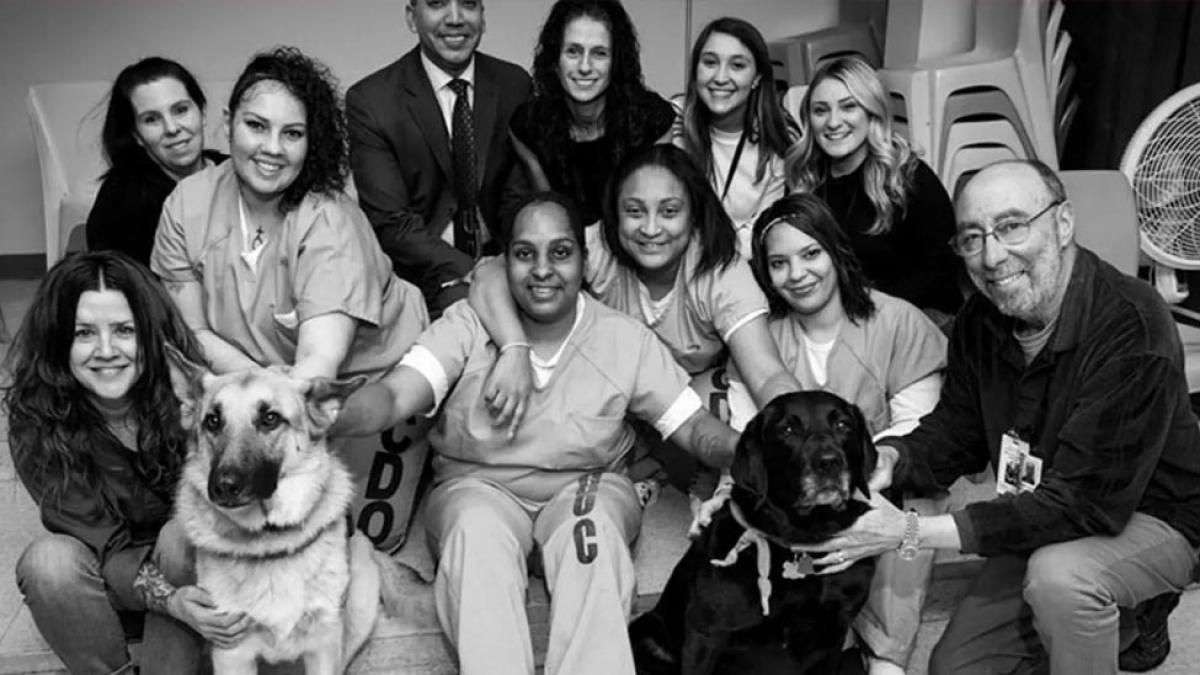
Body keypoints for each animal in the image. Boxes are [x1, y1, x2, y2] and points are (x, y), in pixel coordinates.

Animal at [177, 367, 403, 672]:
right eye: (213, 421)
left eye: (270, 418)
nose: (223, 486)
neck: (271, 541)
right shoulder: (232, 654)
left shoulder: (323, 647)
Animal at [633, 389, 878, 672]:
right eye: (788, 429)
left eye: (842, 425)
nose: (829, 463)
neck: (805, 536)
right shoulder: (705, 634)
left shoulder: (834, 635)